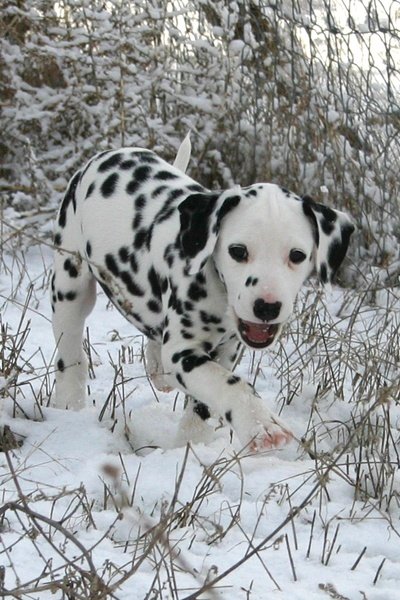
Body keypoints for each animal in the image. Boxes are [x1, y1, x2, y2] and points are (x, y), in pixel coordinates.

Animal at [50, 142, 354, 450]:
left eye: (297, 255)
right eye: (238, 251)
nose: (267, 307)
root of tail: (112, 153)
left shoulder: (228, 349)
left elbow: (203, 402)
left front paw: (191, 443)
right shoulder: (183, 352)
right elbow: (227, 384)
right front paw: (259, 423)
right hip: (70, 286)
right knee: (70, 352)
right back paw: (70, 404)